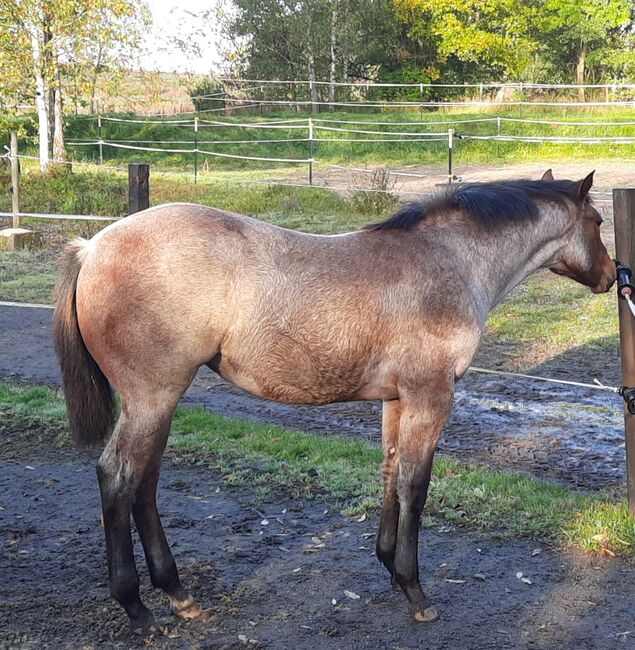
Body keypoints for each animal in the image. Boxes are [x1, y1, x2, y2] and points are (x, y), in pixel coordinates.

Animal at [54, 168, 616, 628]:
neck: (449, 261)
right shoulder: (431, 396)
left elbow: (390, 472)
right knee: (117, 477)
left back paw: (177, 593)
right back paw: (137, 606)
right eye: (597, 221)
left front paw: (389, 565)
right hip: (152, 397)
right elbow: (416, 485)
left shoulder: (396, 400)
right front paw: (415, 590)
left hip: (160, 401)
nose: (612, 277)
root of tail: (93, 246)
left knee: (144, 482)